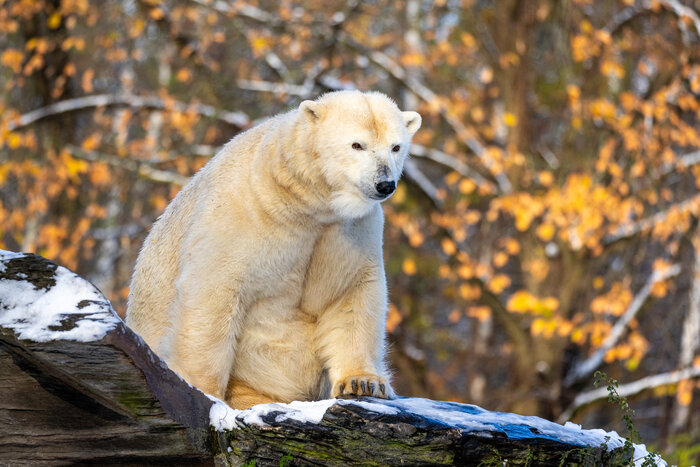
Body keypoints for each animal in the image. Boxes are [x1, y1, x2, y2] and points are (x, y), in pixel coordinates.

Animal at [126, 89, 422, 408]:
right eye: (357, 144)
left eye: (396, 147)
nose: (384, 184)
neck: (301, 200)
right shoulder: (241, 215)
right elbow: (212, 293)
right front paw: (201, 390)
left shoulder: (346, 232)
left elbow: (349, 293)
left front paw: (363, 382)